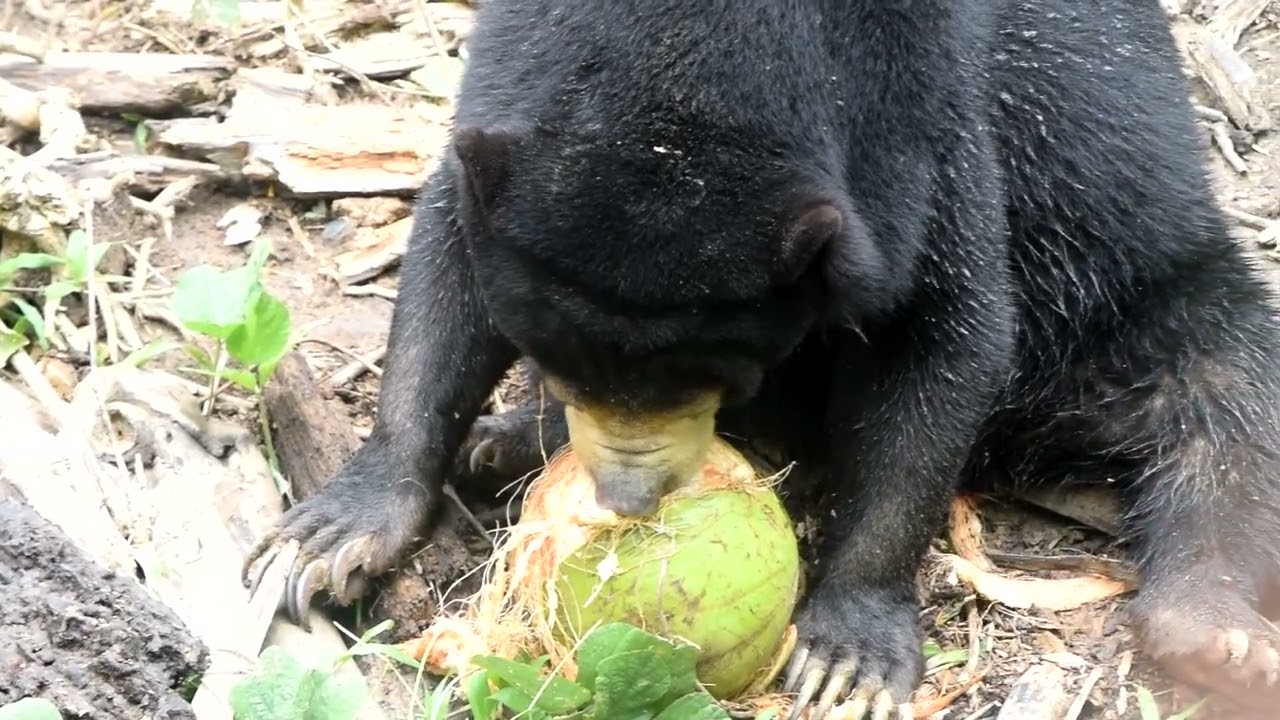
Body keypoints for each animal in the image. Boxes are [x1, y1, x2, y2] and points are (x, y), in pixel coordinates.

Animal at [244, 1, 1280, 717]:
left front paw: (847, 655)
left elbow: (945, 334)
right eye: (567, 364)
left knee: (1226, 399)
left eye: (710, 374)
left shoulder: (920, 126)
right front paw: (325, 540)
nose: (628, 502)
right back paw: (503, 444)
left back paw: (1212, 632)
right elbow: (449, 258)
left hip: (1141, 290)